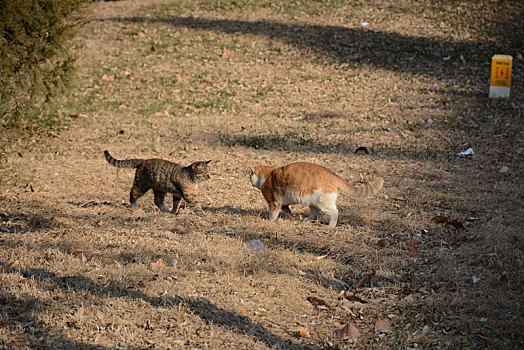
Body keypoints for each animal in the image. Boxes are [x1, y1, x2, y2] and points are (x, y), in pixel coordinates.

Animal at [248, 163, 382, 228]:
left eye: (250, 176)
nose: (249, 181)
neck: (268, 175)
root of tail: (334, 175)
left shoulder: (273, 202)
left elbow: (273, 213)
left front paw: (270, 221)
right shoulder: (283, 202)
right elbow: (286, 208)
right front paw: (289, 214)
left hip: (323, 202)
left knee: (334, 213)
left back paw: (330, 226)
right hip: (312, 203)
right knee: (314, 215)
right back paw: (305, 221)